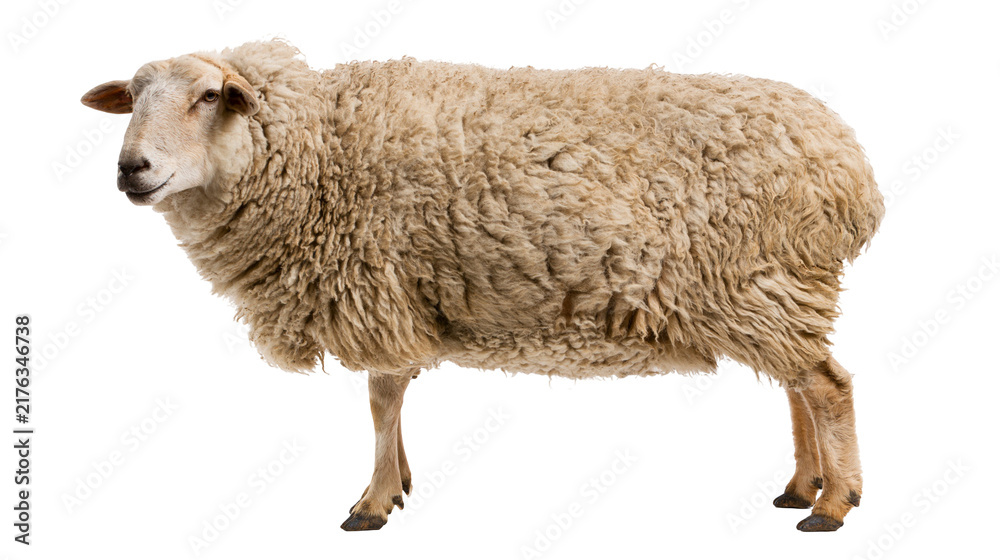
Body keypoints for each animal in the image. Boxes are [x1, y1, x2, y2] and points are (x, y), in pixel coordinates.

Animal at [81, 39, 884, 532]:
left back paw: (835, 503)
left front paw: (374, 501)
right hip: (767, 289)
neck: (315, 155)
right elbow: (393, 397)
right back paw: (802, 485)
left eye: (211, 95)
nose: (131, 168)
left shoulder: (378, 284)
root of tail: (850, 167)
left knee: (827, 386)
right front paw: (398, 482)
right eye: (133, 99)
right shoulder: (394, 290)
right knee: (800, 384)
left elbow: (381, 396)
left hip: (757, 280)